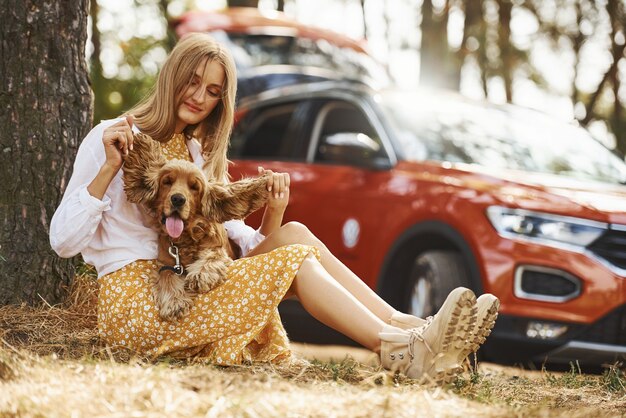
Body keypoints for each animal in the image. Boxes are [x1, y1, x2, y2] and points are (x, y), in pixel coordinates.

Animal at [123, 133, 266, 320]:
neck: (184, 239)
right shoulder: (165, 263)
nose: (177, 199)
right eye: (167, 182)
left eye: (194, 187)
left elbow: (213, 256)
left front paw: (201, 274)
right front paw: (174, 302)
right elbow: (166, 275)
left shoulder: (218, 248)